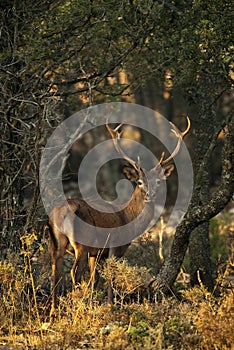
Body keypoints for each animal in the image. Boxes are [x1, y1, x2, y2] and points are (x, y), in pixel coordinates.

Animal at [48, 118, 190, 314]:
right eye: (139, 182)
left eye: (158, 182)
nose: (150, 194)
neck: (127, 218)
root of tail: (61, 212)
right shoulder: (114, 246)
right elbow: (110, 278)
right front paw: (109, 305)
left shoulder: (96, 254)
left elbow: (95, 280)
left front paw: (94, 302)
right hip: (82, 243)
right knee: (74, 272)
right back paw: (75, 307)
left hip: (56, 242)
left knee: (55, 271)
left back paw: (54, 311)